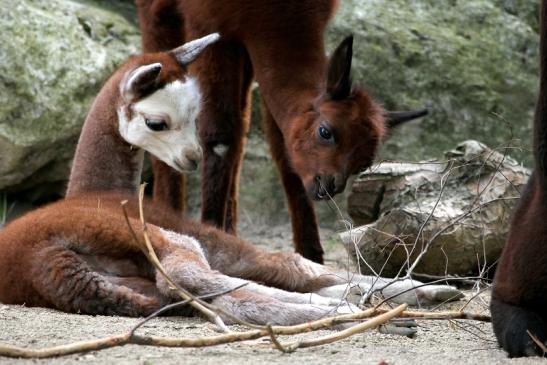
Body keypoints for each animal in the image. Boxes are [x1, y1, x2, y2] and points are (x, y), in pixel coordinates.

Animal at [135, 0, 426, 262]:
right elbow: (219, 135)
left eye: (363, 163)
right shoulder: (209, 23)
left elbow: (281, 149)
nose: (331, 185)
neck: (279, 12)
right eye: (325, 131)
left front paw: (311, 256)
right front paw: (209, 233)